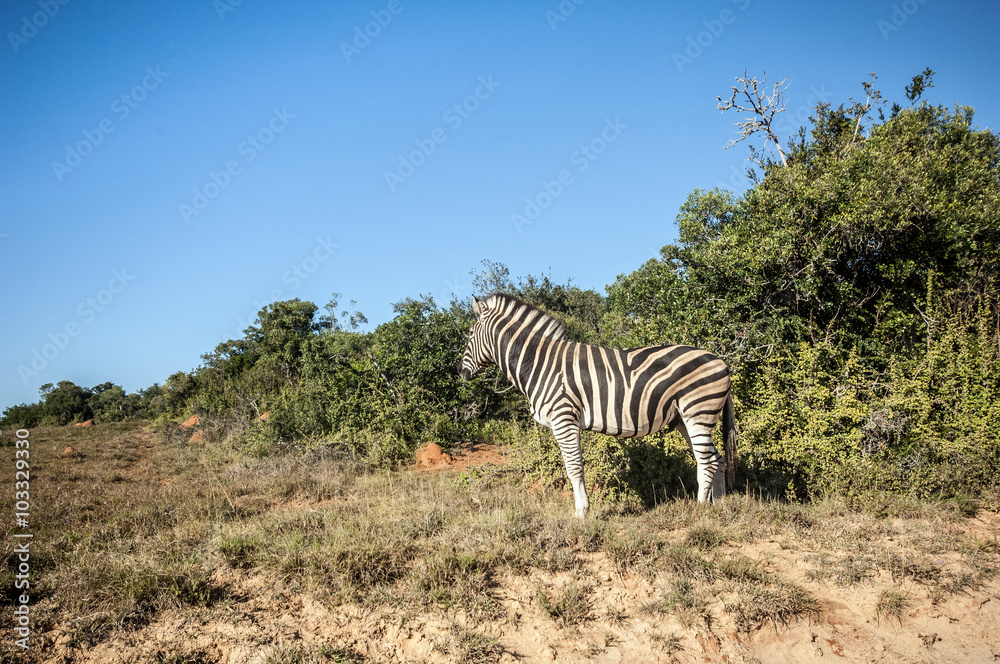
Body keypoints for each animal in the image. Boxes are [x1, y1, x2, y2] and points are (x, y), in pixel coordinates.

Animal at [458, 292, 736, 518]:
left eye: (470, 334)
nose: (460, 373)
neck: (540, 364)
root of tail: (721, 361)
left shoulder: (564, 418)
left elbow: (573, 467)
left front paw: (581, 512)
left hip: (698, 411)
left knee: (707, 460)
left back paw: (700, 508)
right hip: (685, 419)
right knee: (716, 458)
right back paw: (719, 504)